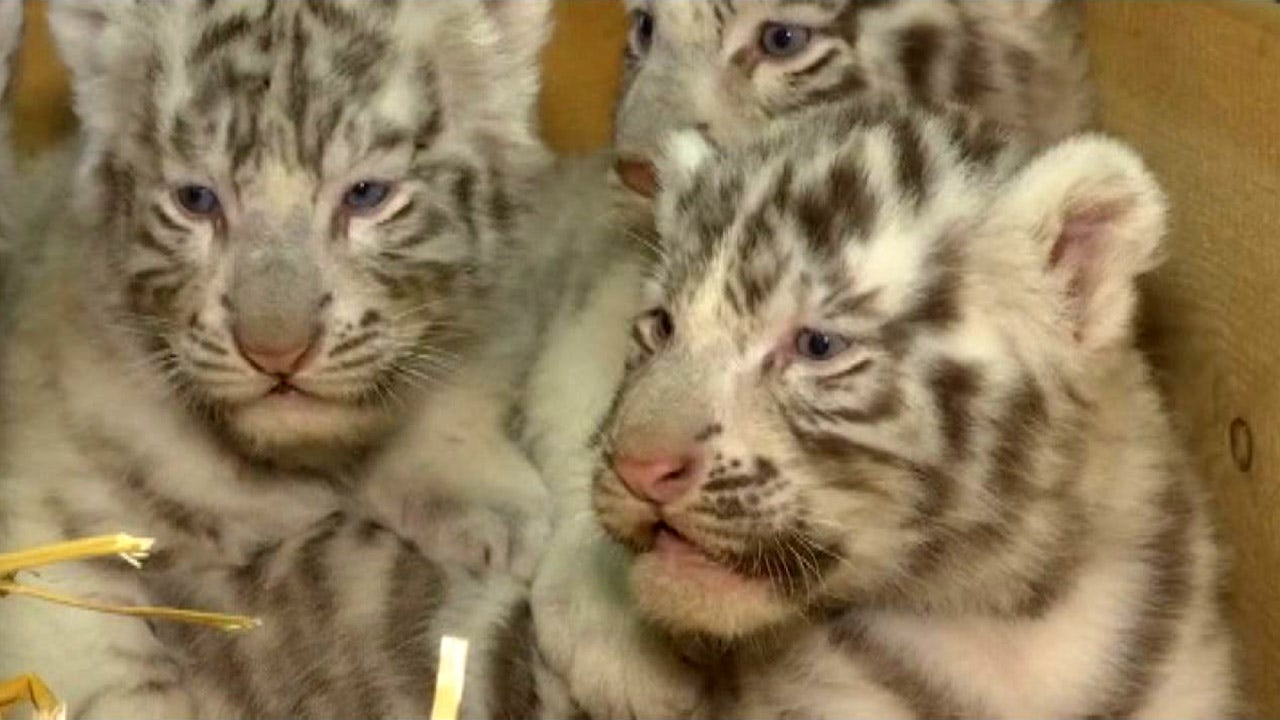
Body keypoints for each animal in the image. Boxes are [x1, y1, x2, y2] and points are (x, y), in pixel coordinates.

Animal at [0, 0, 560, 715]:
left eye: (367, 195)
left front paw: (489, 510)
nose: (276, 351)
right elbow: (98, 650)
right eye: (196, 200)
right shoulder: (39, 505)